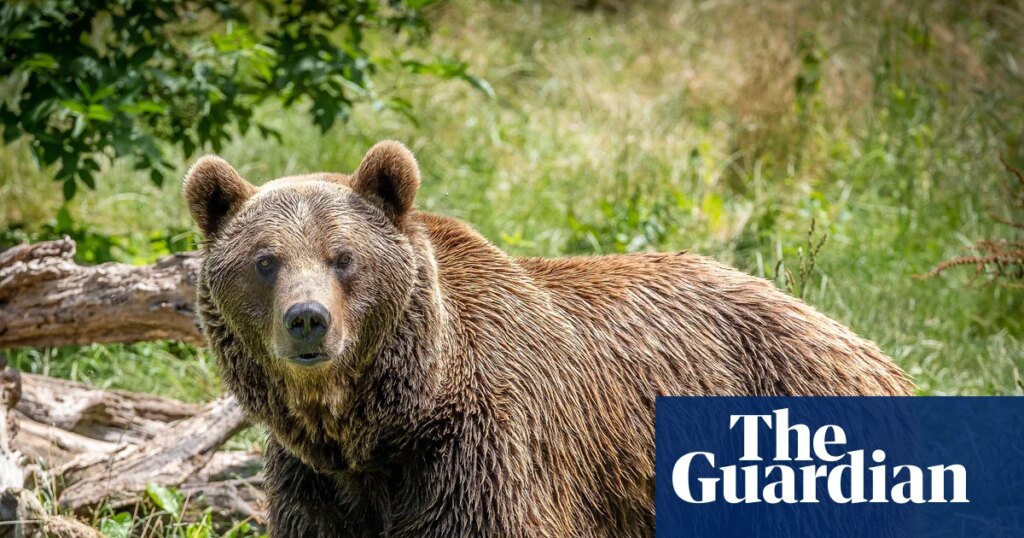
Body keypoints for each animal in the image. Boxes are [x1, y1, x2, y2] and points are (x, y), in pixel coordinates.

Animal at [183, 140, 912, 537]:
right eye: (266, 261)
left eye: (344, 257)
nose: (308, 319)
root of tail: (860, 343)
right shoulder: (319, 481)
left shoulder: (488, 453)